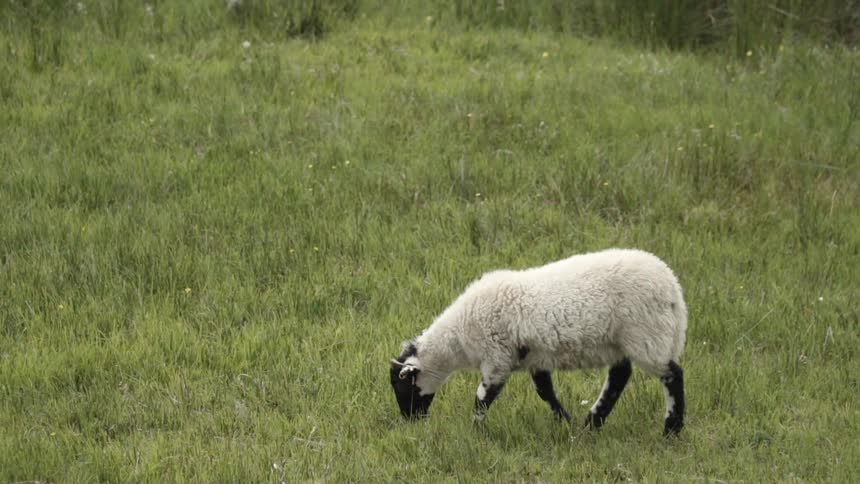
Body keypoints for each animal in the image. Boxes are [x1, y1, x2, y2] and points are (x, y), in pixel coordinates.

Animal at [389, 248, 687, 436]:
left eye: (403, 386)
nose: (411, 420)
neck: (458, 338)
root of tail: (673, 290)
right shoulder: (535, 356)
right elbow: (545, 391)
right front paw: (564, 421)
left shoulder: (497, 358)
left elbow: (483, 396)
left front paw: (476, 429)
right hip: (620, 340)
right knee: (619, 376)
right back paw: (592, 422)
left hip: (646, 334)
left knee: (672, 375)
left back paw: (671, 429)